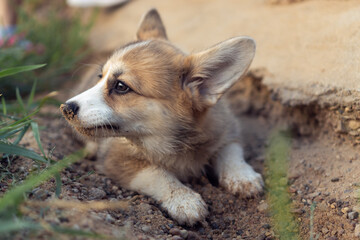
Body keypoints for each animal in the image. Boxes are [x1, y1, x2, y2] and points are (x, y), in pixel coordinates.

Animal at [62, 8, 262, 225]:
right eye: (101, 78)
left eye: (121, 86)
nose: (65, 108)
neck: (174, 143)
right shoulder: (119, 160)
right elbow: (158, 174)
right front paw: (185, 200)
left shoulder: (226, 129)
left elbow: (231, 152)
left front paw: (244, 177)